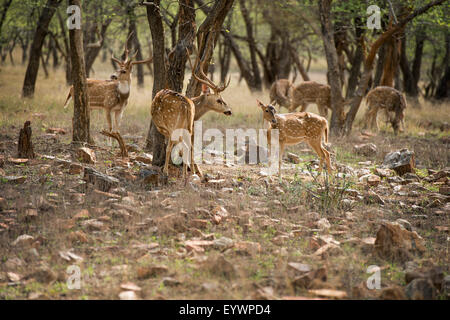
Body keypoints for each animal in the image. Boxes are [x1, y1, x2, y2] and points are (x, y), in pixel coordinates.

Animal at [150, 50, 232, 178]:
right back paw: (186, 173)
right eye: (219, 100)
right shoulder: (192, 127)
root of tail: (187, 106)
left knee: (179, 146)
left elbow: (174, 147)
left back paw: (168, 171)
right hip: (185, 128)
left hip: (175, 125)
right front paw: (195, 170)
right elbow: (190, 148)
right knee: (187, 146)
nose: (229, 111)